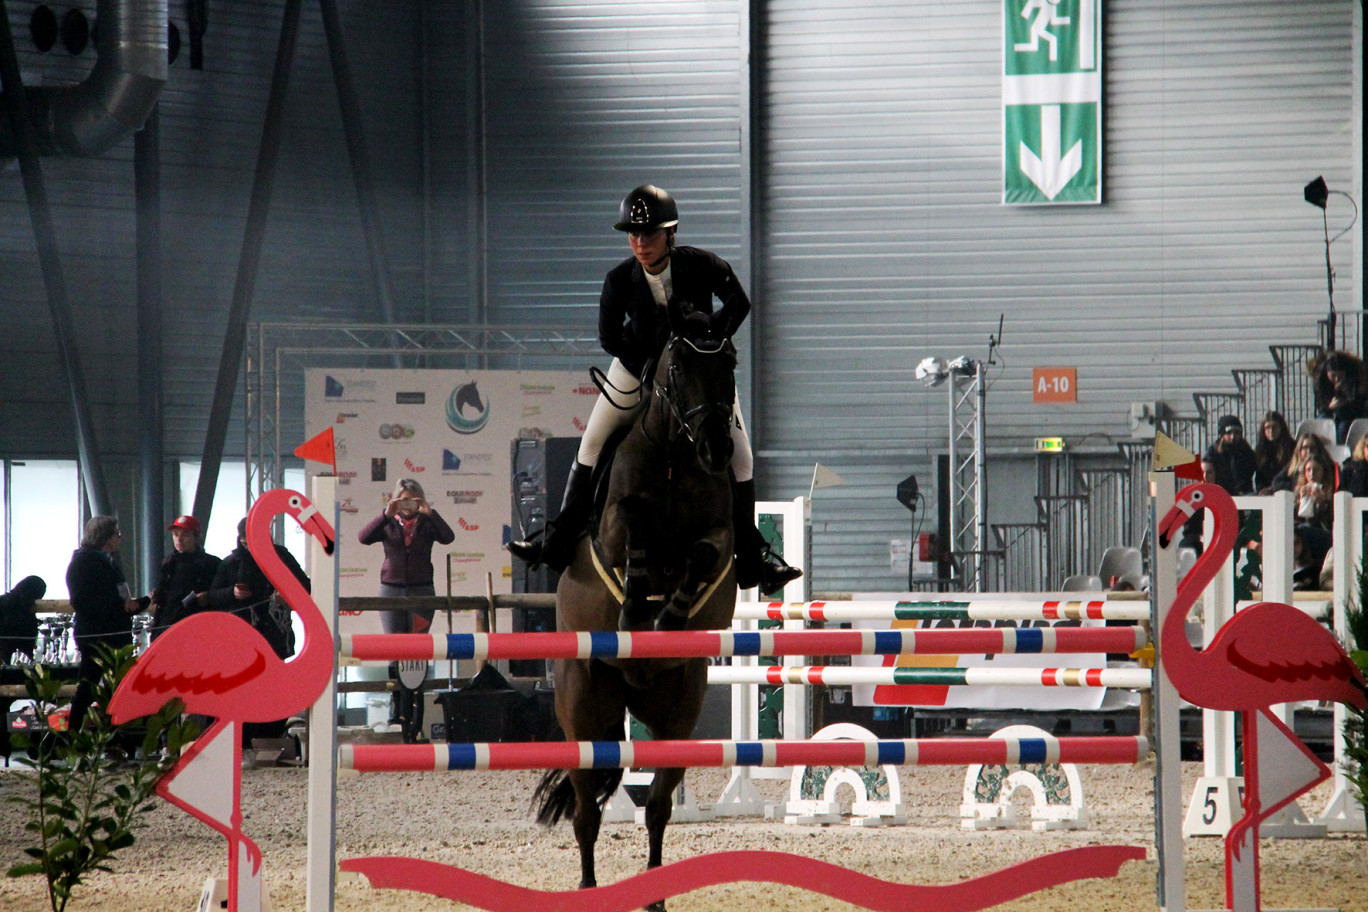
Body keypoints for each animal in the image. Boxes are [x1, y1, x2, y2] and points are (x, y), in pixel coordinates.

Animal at [533, 309, 744, 912]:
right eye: (678, 368)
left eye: (729, 363)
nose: (718, 450)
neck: (675, 456)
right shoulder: (614, 522)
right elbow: (634, 530)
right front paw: (635, 613)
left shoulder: (720, 533)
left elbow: (702, 552)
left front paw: (669, 618)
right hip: (584, 710)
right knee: (586, 812)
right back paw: (587, 888)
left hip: (677, 714)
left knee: (657, 807)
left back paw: (654, 894)